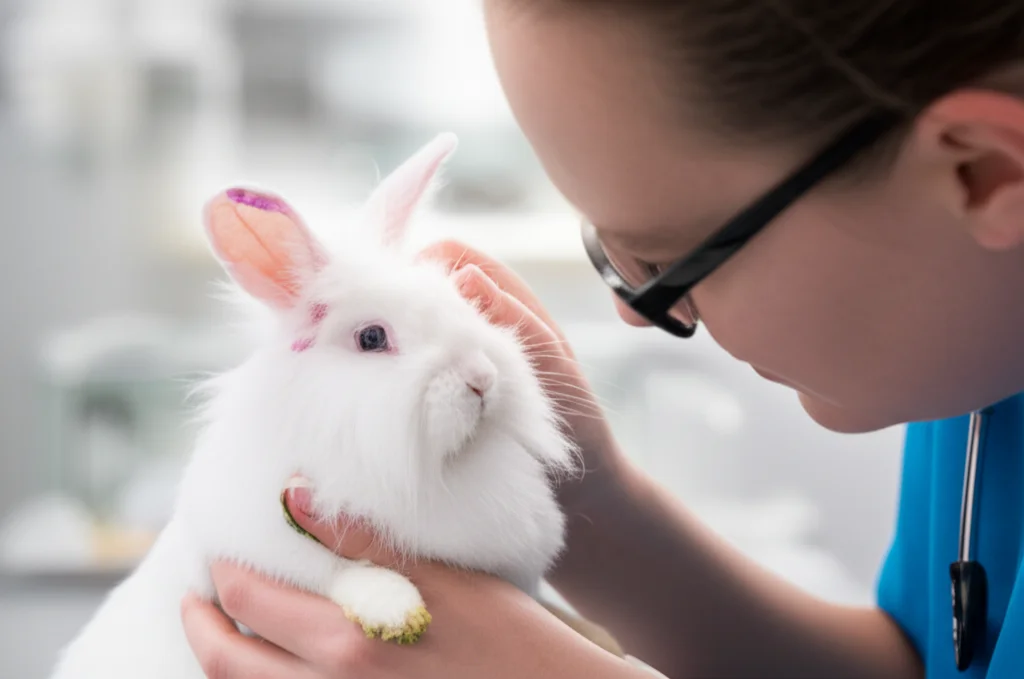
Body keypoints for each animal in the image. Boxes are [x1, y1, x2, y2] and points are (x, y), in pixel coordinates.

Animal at [49, 132, 583, 679]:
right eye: (372, 338)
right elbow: (330, 571)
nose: (482, 379)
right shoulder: (248, 544)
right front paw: (395, 611)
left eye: (461, 302)